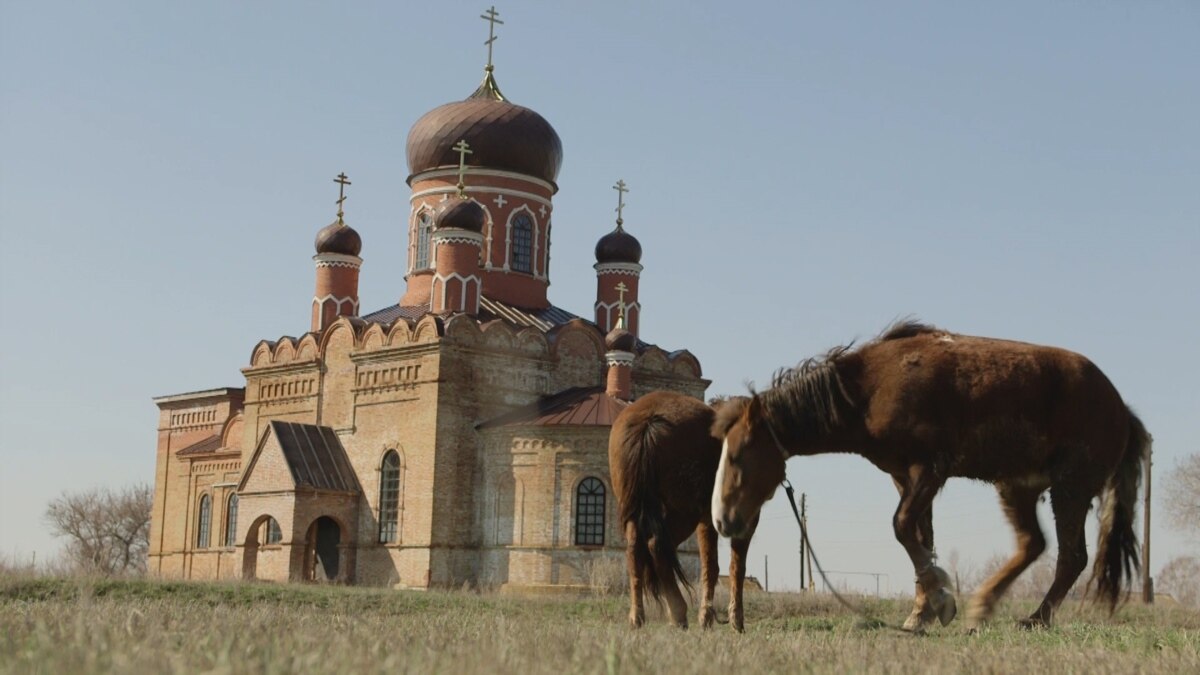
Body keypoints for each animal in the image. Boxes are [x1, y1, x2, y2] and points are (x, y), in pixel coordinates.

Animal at [609, 389, 758, 629]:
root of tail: (647, 422)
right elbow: (735, 566)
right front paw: (734, 619)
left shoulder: (707, 521)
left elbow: (711, 566)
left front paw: (707, 617)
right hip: (683, 514)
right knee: (656, 546)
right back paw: (678, 612)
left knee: (635, 549)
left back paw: (638, 616)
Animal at [705, 319, 1147, 629]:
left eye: (739, 455)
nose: (723, 520)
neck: (869, 388)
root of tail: (1121, 409)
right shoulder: (904, 476)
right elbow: (921, 537)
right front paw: (924, 611)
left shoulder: (928, 470)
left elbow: (902, 528)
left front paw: (939, 600)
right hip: (1017, 486)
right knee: (1033, 544)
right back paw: (983, 605)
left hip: (1071, 487)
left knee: (1072, 557)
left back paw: (1035, 618)